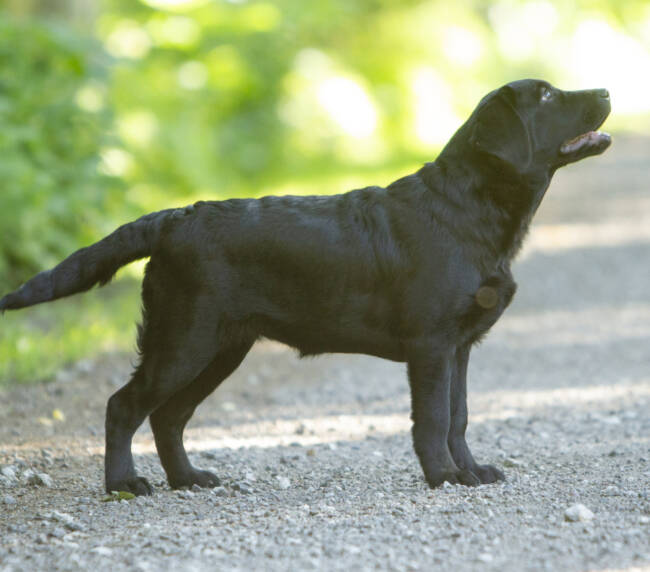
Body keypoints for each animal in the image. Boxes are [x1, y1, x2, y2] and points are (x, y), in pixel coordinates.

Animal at [0, 79, 611, 495]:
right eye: (547, 96)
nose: (606, 89)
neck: (466, 210)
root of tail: (174, 219)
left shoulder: (460, 347)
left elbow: (458, 417)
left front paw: (471, 470)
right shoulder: (431, 345)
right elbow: (434, 419)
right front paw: (442, 476)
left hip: (222, 348)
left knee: (167, 416)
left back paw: (189, 478)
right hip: (183, 340)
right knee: (123, 406)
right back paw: (124, 484)